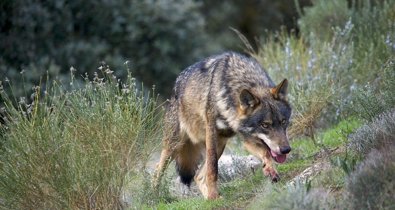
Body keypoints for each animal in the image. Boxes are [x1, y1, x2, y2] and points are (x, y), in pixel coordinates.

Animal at [153, 51, 292, 199]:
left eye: (283, 122)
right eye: (265, 125)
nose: (286, 150)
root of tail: (175, 87)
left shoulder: (247, 137)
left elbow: (266, 152)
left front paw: (270, 170)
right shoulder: (212, 132)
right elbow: (213, 169)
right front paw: (213, 194)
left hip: (220, 144)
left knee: (198, 176)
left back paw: (209, 199)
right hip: (175, 146)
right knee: (157, 170)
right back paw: (154, 196)